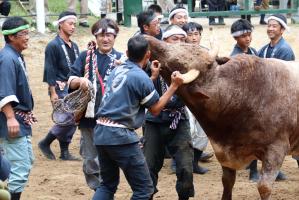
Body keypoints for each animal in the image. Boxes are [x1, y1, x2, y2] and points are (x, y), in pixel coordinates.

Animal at [147, 36, 299, 200]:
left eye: (174, 61)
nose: (146, 39)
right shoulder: (223, 152)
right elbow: (227, 181)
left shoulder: (276, 149)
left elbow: (264, 187)